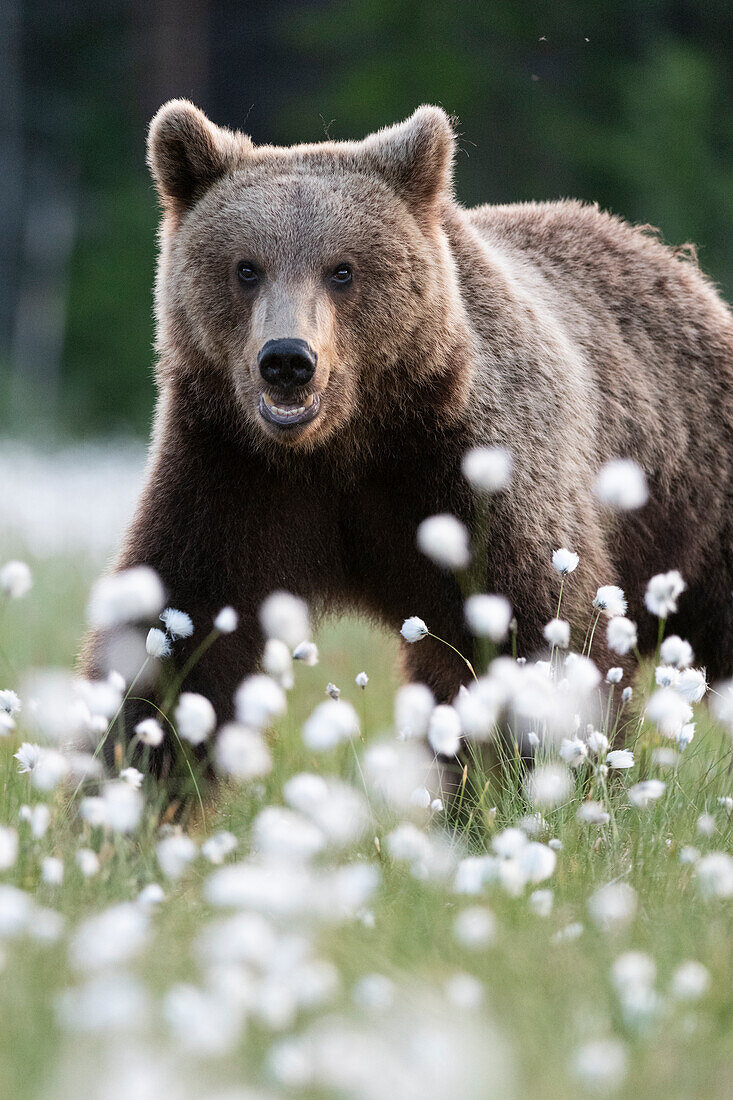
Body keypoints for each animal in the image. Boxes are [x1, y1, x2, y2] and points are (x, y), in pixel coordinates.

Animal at [81, 99, 730, 761]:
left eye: (342, 269)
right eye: (246, 268)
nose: (287, 359)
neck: (344, 445)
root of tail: (668, 257)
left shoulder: (469, 470)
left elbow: (545, 625)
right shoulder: (232, 471)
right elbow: (181, 627)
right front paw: (133, 761)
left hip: (694, 491)